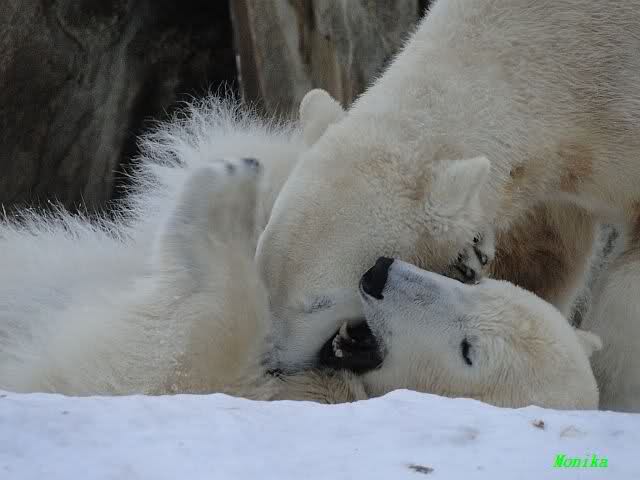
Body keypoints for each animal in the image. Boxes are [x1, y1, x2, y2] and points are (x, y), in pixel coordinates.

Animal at [0, 160, 601, 410]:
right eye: (482, 291)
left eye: (468, 350)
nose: (379, 273)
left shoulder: (280, 393)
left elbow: (181, 358)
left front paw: (224, 197)